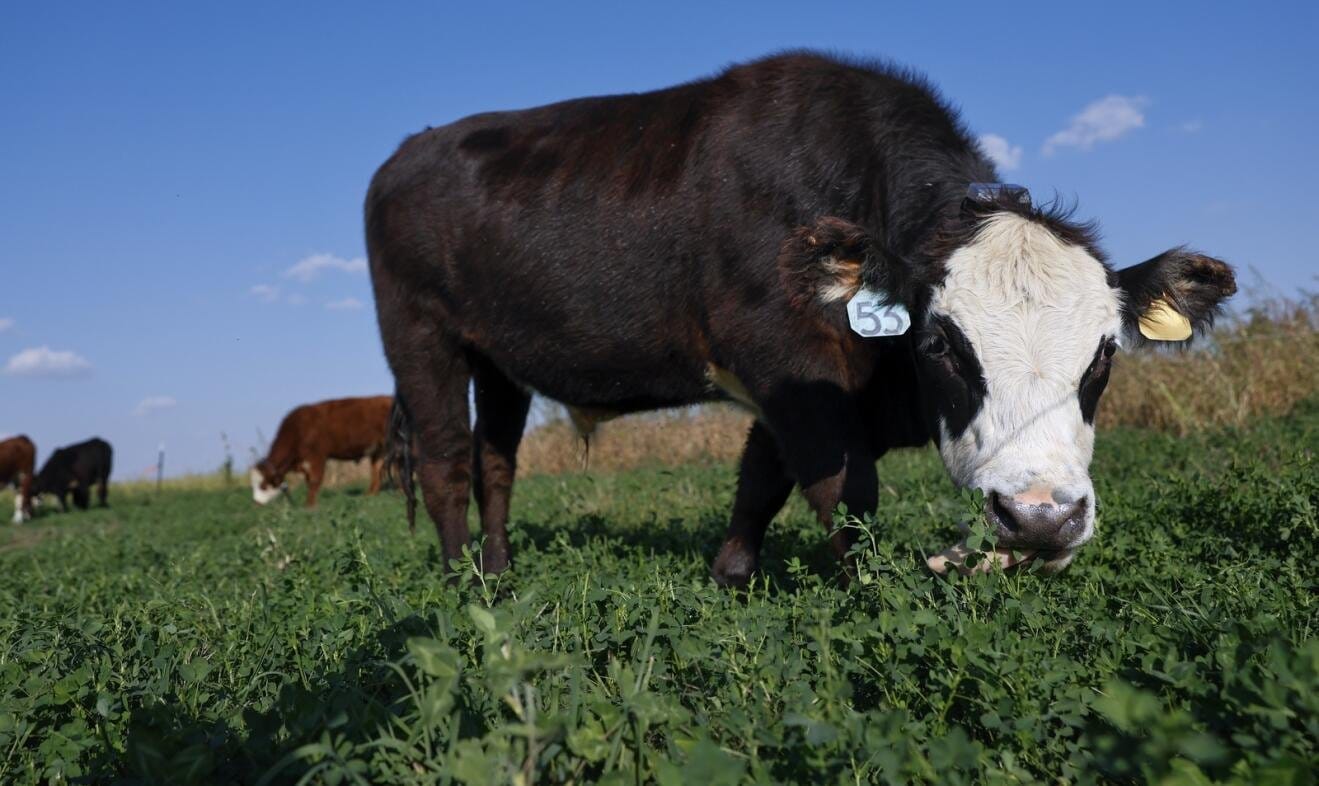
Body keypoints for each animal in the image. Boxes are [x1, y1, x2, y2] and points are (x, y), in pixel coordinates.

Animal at [250, 396, 393, 507]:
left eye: (263, 485)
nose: (256, 503)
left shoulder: (317, 456)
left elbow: (314, 480)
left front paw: (310, 505)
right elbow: (308, 479)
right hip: (378, 450)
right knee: (377, 470)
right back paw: (370, 495)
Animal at [365, 52, 1235, 585]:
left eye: (1103, 354)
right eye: (940, 346)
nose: (1040, 516)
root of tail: (410, 150)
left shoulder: (795, 382)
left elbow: (760, 477)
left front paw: (729, 575)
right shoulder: (786, 357)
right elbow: (841, 491)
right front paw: (869, 595)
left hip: (498, 359)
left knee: (496, 462)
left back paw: (499, 573)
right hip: (420, 337)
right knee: (446, 463)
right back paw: (461, 585)